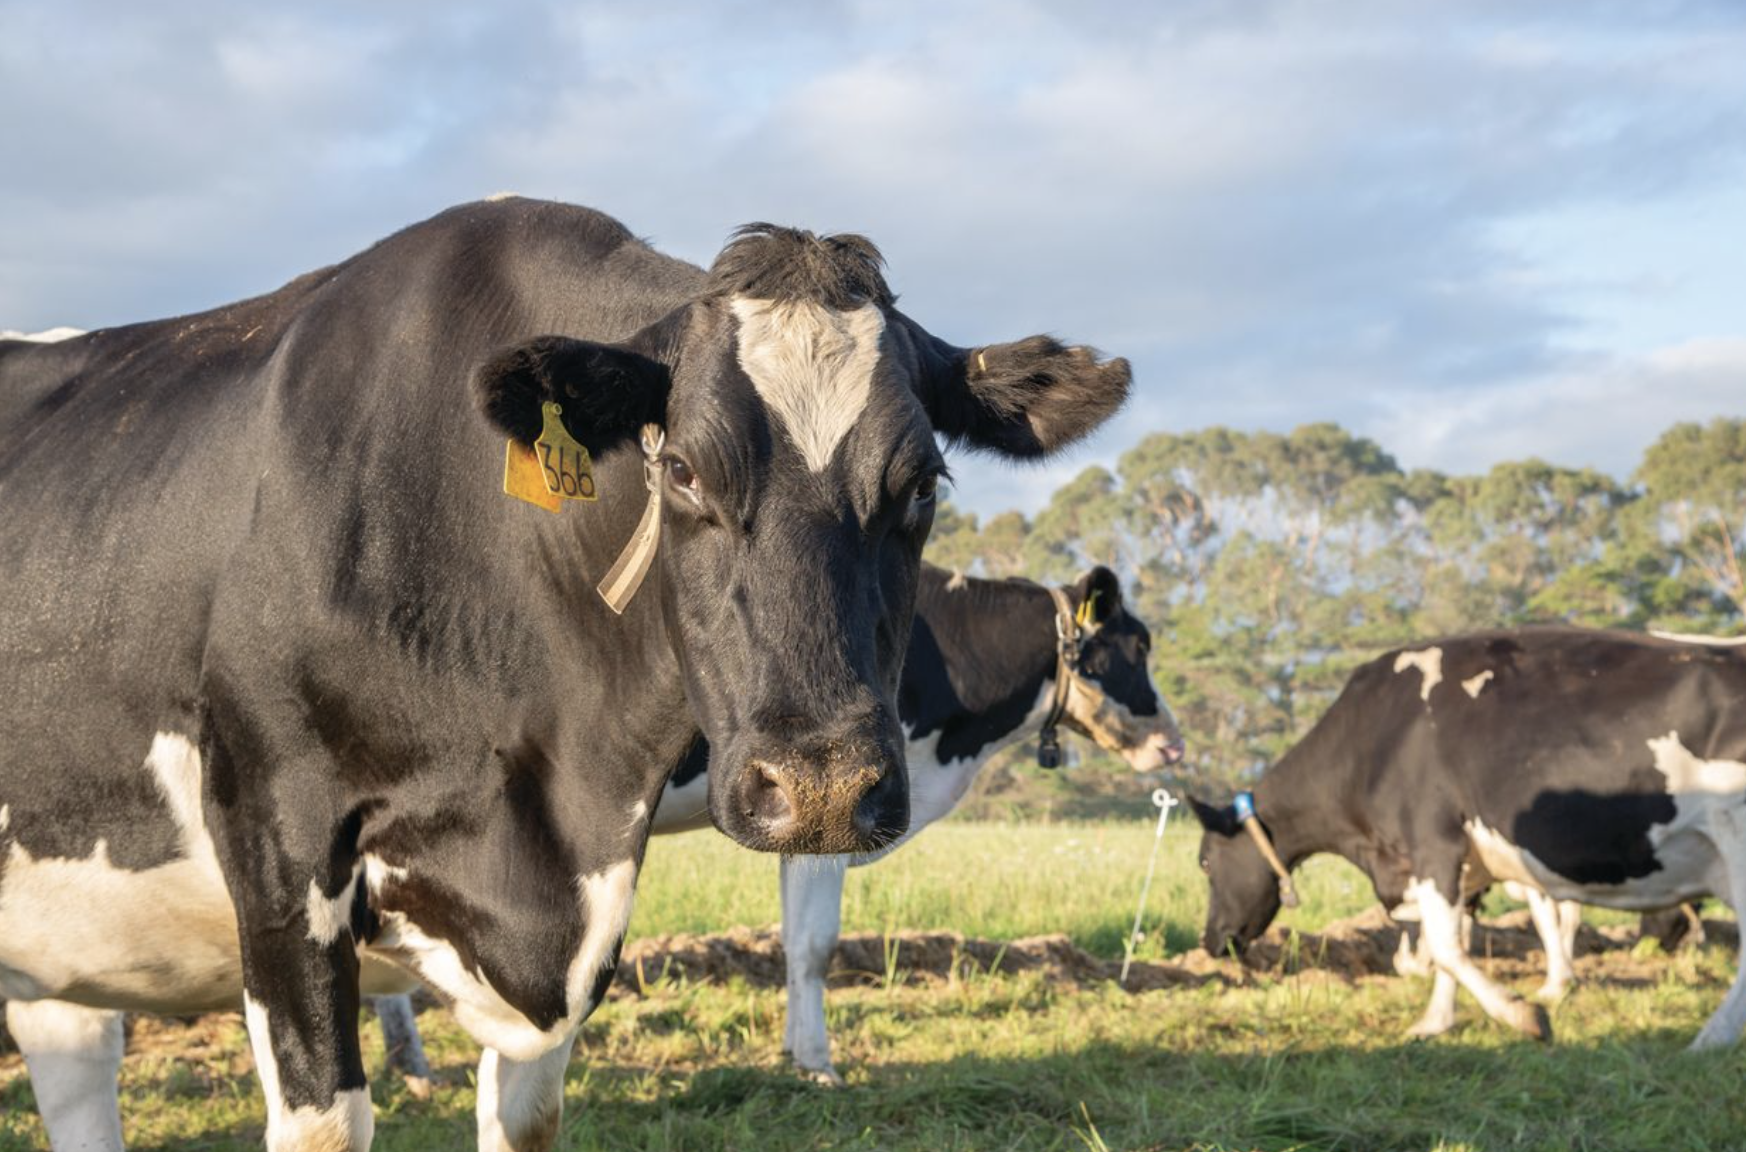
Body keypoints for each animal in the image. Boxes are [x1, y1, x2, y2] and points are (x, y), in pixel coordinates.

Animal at [1189, 627, 1746, 1048]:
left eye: (1205, 862)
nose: (1210, 940)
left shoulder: (1432, 843)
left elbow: (1445, 944)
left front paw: (1525, 1014)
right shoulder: (1466, 867)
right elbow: (1452, 941)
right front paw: (1435, 1022)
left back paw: (1708, 1041)